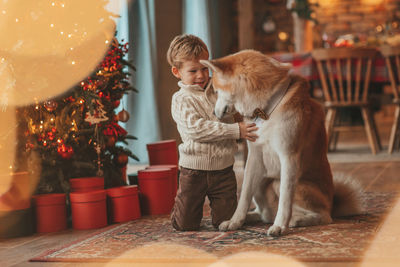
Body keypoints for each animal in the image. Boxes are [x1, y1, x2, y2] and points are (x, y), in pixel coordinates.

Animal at [202, 50, 360, 237]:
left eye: (216, 91)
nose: (213, 113)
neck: (266, 111)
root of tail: (332, 204)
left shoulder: (289, 157)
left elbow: (285, 199)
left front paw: (279, 226)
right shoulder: (254, 158)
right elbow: (244, 196)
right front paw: (235, 221)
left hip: (282, 185)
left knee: (323, 216)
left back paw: (295, 220)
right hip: (261, 183)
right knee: (264, 213)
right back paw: (252, 217)